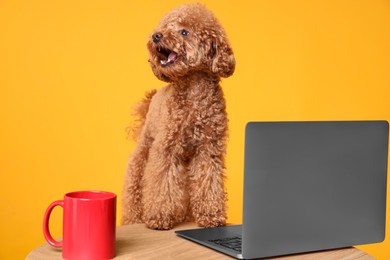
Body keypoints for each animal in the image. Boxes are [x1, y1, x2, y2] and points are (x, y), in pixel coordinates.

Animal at [122, 2, 235, 230]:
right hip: (143, 154)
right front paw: (158, 218)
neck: (193, 90)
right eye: (165, 27)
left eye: (184, 32)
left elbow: (208, 181)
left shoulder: (209, 149)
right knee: (135, 189)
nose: (156, 36)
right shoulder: (166, 148)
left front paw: (211, 215)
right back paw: (134, 219)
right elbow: (162, 183)